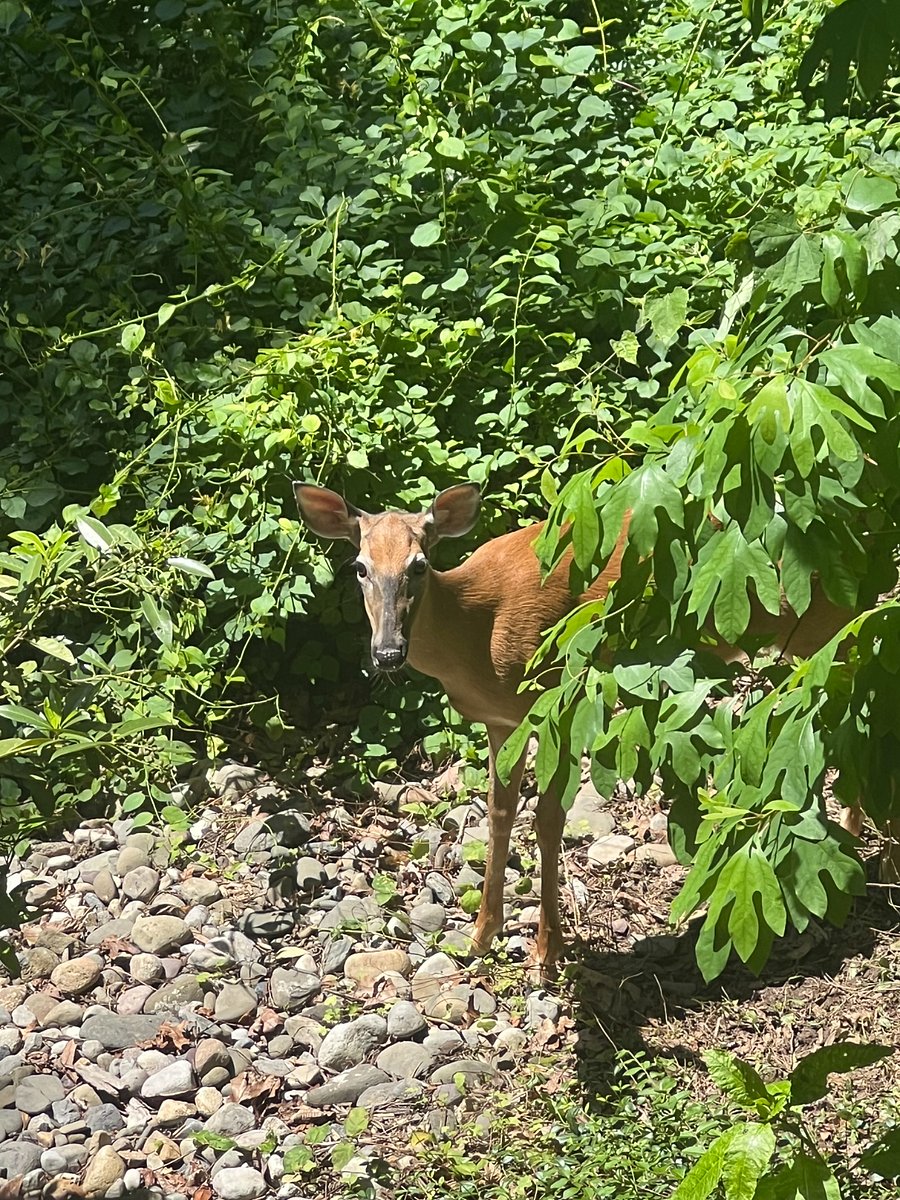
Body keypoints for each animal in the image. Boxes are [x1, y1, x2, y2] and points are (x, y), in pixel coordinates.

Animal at [295, 481, 871, 977]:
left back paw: (854, 854)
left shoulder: (561, 699)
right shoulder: (501, 721)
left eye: (418, 565)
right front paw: (481, 937)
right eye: (360, 567)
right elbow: (499, 813)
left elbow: (549, 819)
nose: (388, 652)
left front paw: (547, 952)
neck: (476, 633)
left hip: (828, 621)